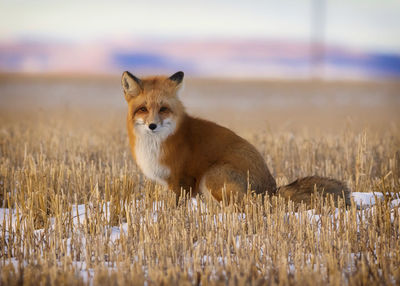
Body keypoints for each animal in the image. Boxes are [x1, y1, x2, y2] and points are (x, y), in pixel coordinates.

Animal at [121, 71, 350, 206]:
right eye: (143, 109)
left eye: (163, 109)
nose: (152, 125)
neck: (157, 144)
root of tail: (270, 190)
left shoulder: (181, 180)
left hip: (211, 175)